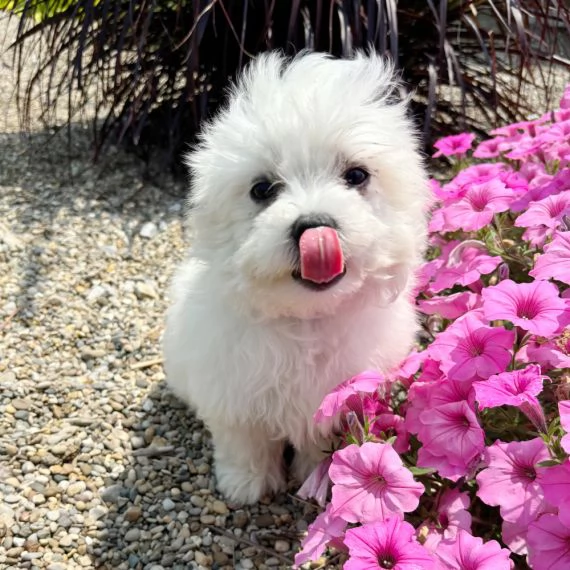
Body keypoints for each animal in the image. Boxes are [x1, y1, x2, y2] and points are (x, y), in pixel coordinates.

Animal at [162, 48, 428, 502]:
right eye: (262, 189)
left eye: (356, 175)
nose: (314, 226)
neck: (307, 320)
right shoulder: (232, 391)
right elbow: (243, 441)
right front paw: (246, 484)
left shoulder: (336, 401)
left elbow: (318, 443)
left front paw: (314, 476)